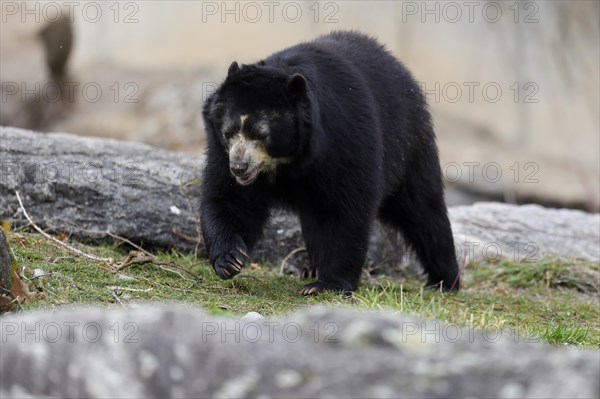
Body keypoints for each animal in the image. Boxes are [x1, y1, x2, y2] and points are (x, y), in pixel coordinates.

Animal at [200, 30, 460, 294]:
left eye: (261, 134)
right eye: (228, 132)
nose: (239, 167)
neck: (288, 161)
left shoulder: (343, 138)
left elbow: (347, 209)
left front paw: (328, 284)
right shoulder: (222, 153)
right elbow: (230, 198)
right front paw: (230, 259)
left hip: (408, 142)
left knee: (423, 210)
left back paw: (444, 281)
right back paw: (311, 268)